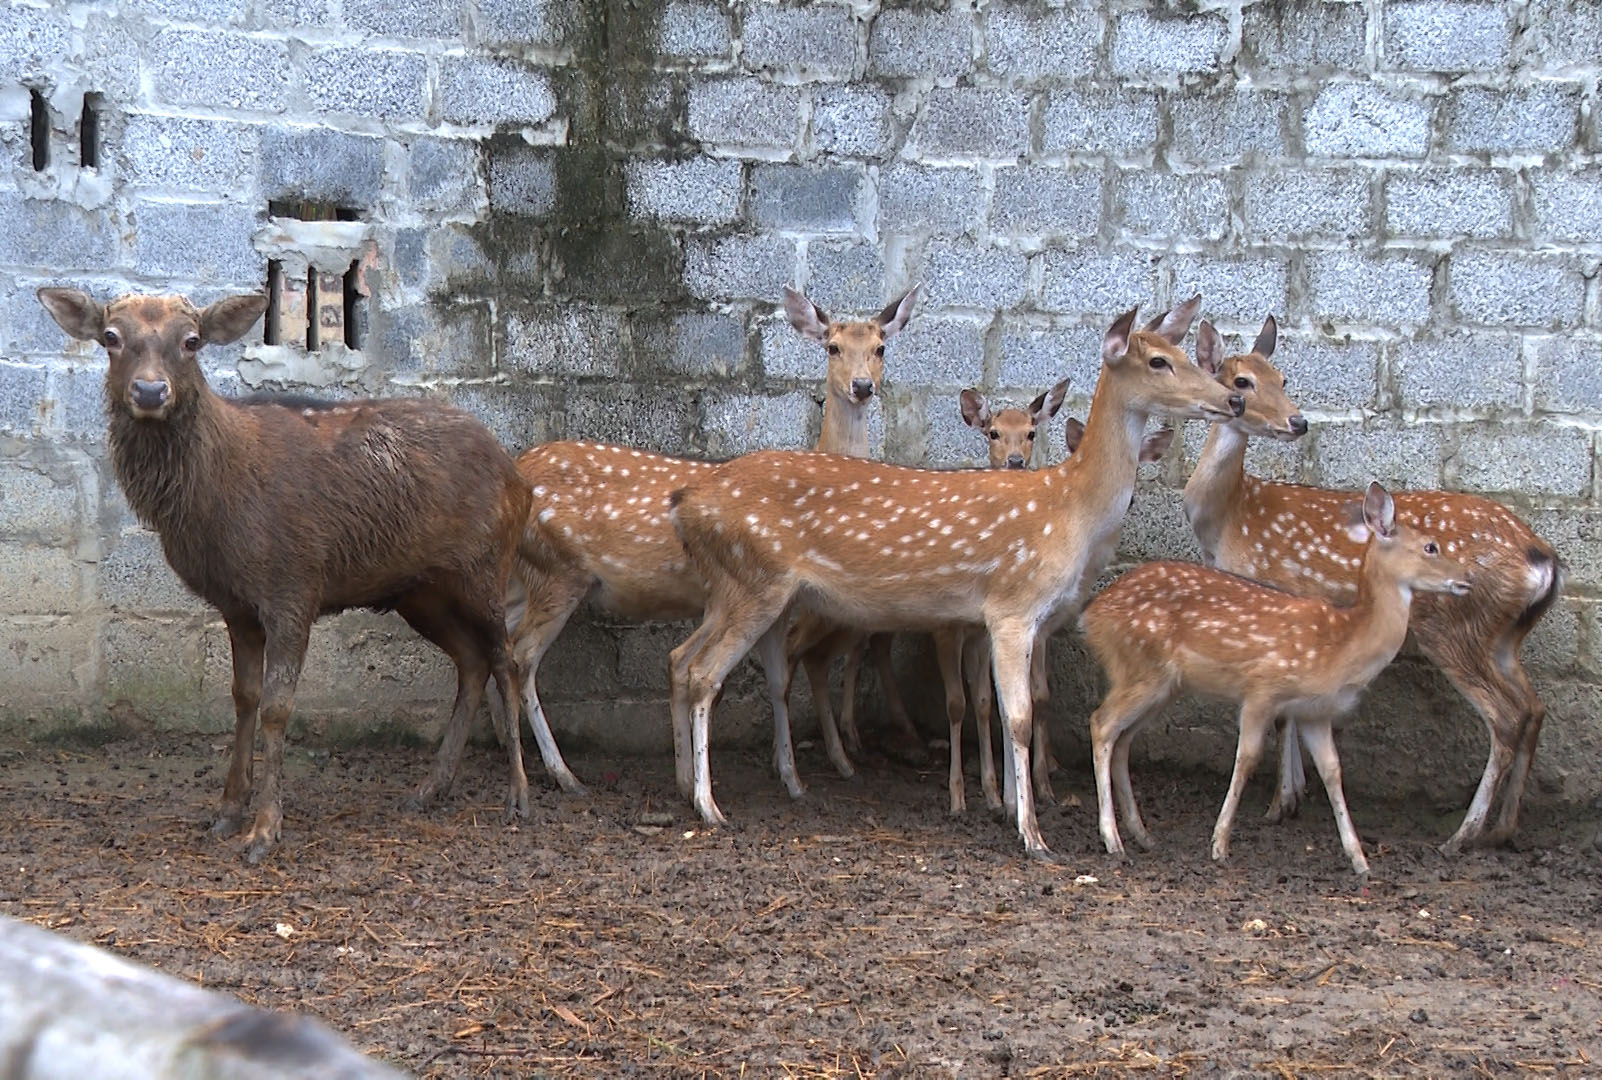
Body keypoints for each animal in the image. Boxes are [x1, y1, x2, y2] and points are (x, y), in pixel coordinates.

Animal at [36, 283, 531, 858]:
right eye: (112, 337)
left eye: (192, 340)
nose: (152, 391)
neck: (212, 507)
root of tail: (517, 476)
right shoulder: (235, 604)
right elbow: (243, 697)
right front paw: (228, 810)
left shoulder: (294, 585)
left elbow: (277, 705)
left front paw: (265, 829)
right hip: (421, 590)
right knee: (471, 661)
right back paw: (430, 788)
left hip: (488, 566)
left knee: (507, 659)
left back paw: (518, 796)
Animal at [487, 285, 922, 797]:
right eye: (832, 346)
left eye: (880, 348)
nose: (862, 386)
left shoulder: (777, 603)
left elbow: (778, 683)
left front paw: (787, 776)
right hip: (560, 570)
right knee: (525, 657)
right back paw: (563, 773)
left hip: (525, 576)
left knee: (497, 638)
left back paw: (503, 742)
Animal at [669, 296, 1243, 852]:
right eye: (1159, 361)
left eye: (1185, 352)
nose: (1232, 399)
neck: (1069, 510)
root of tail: (685, 501)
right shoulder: (1013, 607)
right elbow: (1018, 717)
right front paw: (1032, 835)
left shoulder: (1008, 620)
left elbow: (1009, 710)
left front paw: (1008, 806)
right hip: (756, 582)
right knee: (706, 674)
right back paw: (710, 806)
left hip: (738, 590)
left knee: (685, 658)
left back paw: (723, 786)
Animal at [1082, 480, 1467, 871]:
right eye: (1431, 546)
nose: (1467, 578)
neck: (1341, 644)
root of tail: (1091, 616)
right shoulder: (1262, 689)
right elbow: (1247, 759)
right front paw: (1219, 844)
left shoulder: (1315, 711)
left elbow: (1332, 771)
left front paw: (1359, 859)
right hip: (1139, 667)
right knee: (1101, 724)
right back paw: (1113, 839)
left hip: (1162, 685)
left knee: (1123, 740)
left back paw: (1143, 835)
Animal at [1185, 314, 1557, 852]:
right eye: (1242, 382)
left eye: (1284, 379)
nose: (1298, 422)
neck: (1229, 517)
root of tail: (1541, 560)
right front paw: (1294, 797)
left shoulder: (1280, 594)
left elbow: (1281, 711)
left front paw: (1281, 802)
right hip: (1505, 636)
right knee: (1534, 707)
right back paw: (1505, 828)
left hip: (1453, 627)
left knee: (1506, 717)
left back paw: (1462, 835)